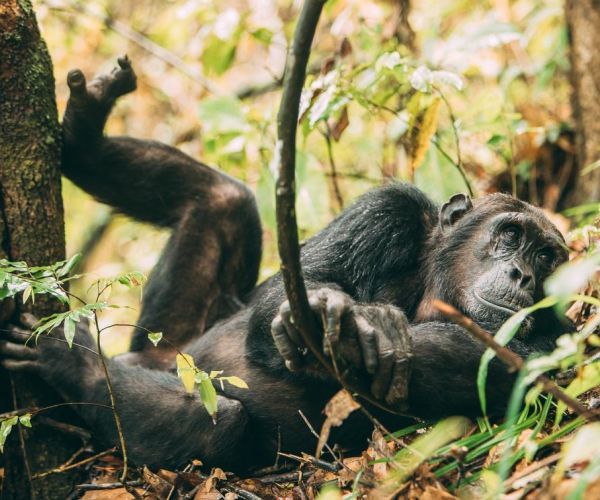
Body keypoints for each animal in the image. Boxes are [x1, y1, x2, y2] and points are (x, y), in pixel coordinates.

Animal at [0, 58, 572, 472]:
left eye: (546, 257)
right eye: (511, 236)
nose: (523, 273)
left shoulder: (554, 347)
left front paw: (368, 330)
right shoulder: (388, 213)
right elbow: (294, 287)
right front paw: (329, 309)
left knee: (216, 420)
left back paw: (74, 361)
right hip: (170, 337)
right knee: (225, 199)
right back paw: (85, 131)